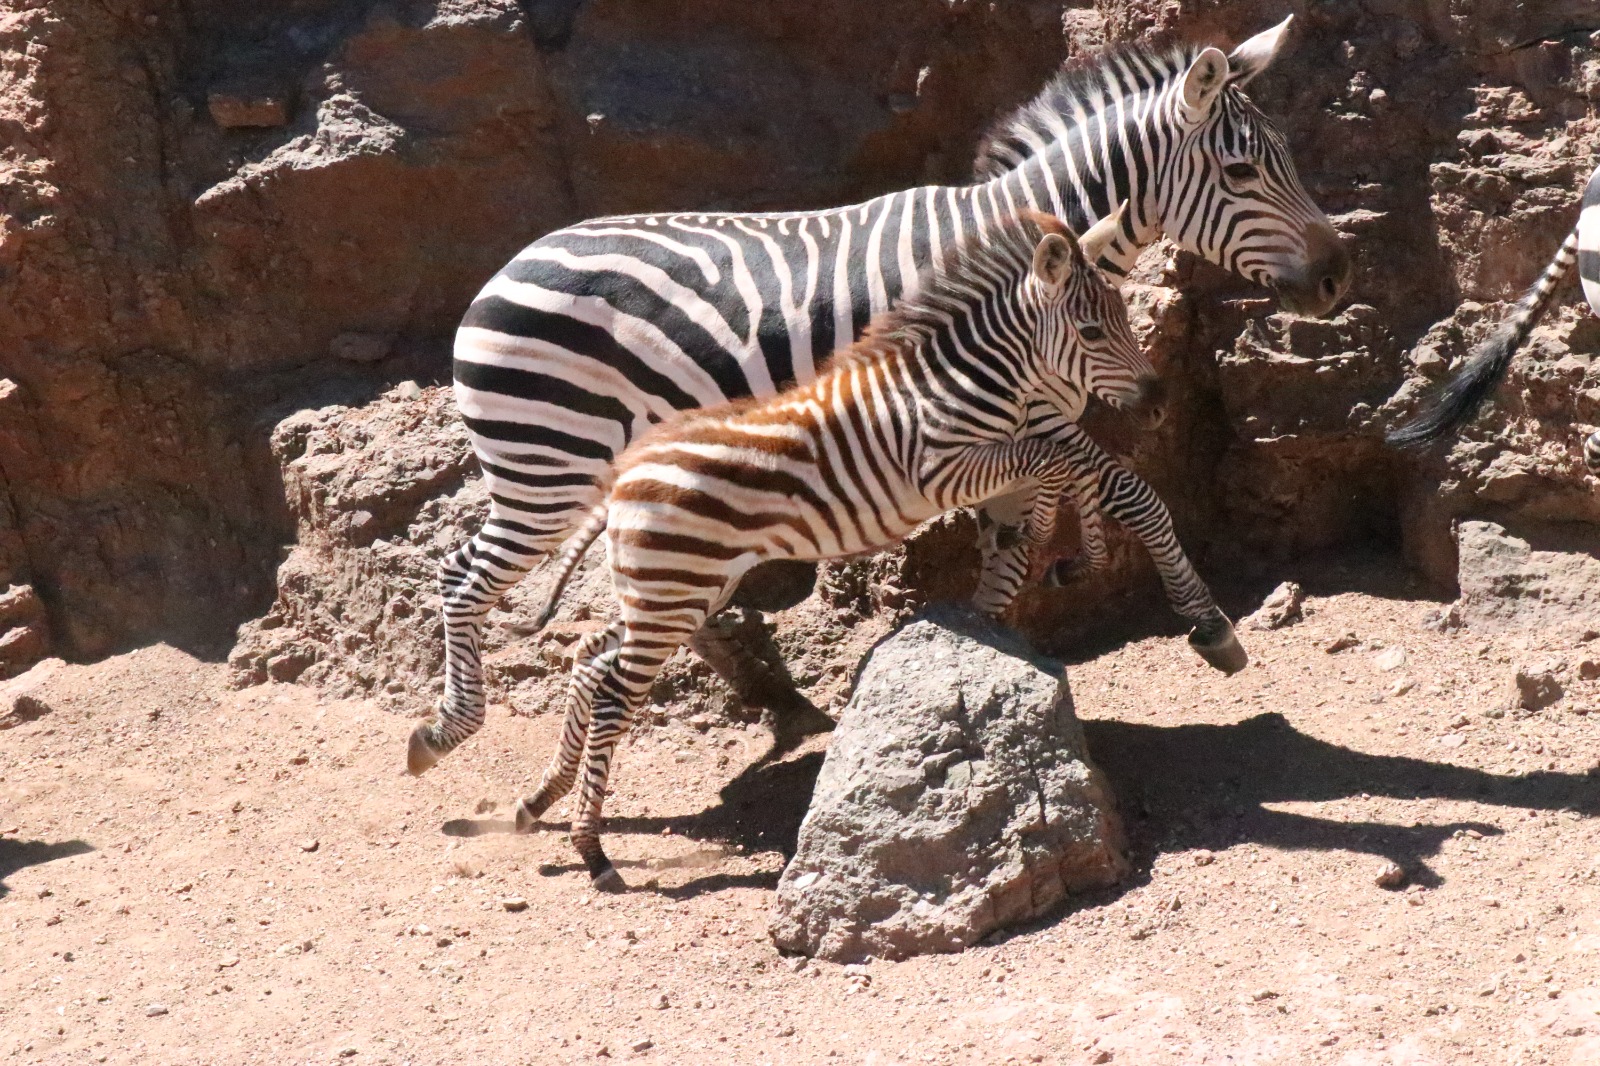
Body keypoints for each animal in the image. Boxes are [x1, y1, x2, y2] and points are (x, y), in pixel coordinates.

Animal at [409, 16, 1350, 771]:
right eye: (1240, 171)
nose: (1338, 277)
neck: (1023, 258)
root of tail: (504, 270)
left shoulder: (1014, 422)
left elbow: (1023, 533)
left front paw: (984, 646)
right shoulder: (1003, 411)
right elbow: (1127, 491)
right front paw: (1207, 624)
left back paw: (776, 700)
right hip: (549, 462)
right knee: (462, 575)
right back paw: (447, 729)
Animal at [518, 209, 1203, 889]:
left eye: (1122, 319)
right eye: (1091, 331)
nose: (1159, 405)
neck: (967, 385)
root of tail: (622, 475)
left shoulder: (1006, 453)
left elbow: (1071, 470)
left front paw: (1069, 552)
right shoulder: (940, 472)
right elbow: (1058, 463)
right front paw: (1048, 540)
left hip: (678, 588)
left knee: (591, 652)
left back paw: (542, 797)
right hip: (673, 590)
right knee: (614, 695)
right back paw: (593, 852)